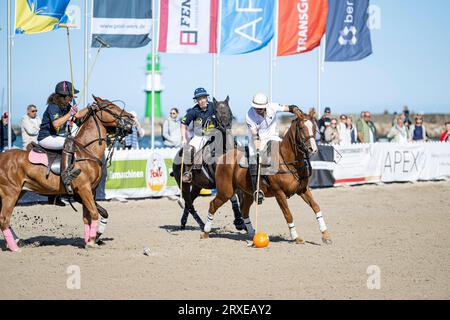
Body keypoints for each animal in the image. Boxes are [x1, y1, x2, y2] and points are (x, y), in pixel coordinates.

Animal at [0, 96, 134, 251]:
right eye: (110, 107)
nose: (131, 119)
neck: (87, 151)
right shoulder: (84, 189)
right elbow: (94, 213)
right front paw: (92, 241)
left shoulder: (89, 191)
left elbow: (90, 216)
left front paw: (92, 239)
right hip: (11, 192)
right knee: (3, 219)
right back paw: (15, 248)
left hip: (19, 192)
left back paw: (16, 242)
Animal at [171, 96, 246, 231]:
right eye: (216, 112)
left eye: (229, 110)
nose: (225, 126)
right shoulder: (222, 181)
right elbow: (232, 197)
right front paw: (239, 221)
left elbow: (239, 196)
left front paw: (243, 222)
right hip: (183, 185)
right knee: (189, 204)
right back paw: (201, 224)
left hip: (197, 185)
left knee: (189, 202)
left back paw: (184, 222)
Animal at [200, 107, 330, 245]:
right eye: (301, 128)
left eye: (314, 127)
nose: (313, 149)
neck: (288, 160)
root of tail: (223, 156)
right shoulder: (279, 193)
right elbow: (288, 214)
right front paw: (296, 237)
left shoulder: (303, 190)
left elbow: (316, 207)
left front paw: (326, 235)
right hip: (226, 192)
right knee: (213, 205)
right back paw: (205, 232)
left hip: (248, 193)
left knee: (244, 211)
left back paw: (252, 234)